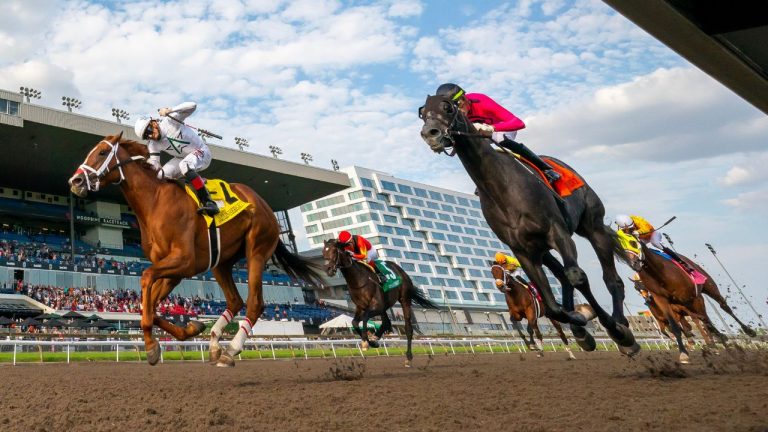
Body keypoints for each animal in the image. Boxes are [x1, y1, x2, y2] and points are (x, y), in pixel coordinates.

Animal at [68, 133, 325, 367]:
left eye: (102, 152)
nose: (75, 181)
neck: (155, 201)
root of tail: (267, 206)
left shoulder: (184, 260)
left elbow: (146, 279)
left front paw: (151, 345)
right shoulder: (173, 271)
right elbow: (149, 306)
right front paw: (191, 327)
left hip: (257, 250)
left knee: (255, 303)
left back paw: (231, 350)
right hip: (221, 262)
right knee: (235, 301)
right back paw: (214, 344)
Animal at [322, 239, 437, 367]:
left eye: (333, 251)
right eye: (323, 253)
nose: (328, 269)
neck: (359, 280)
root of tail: (401, 271)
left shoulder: (375, 306)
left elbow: (365, 318)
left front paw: (366, 342)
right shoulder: (360, 307)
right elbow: (354, 322)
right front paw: (370, 342)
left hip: (404, 300)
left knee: (408, 328)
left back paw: (408, 358)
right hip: (384, 307)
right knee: (386, 322)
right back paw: (375, 338)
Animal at [419, 95, 639, 356]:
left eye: (448, 107)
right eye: (422, 113)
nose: (430, 133)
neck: (502, 187)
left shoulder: (558, 232)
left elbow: (577, 277)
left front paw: (612, 329)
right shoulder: (522, 250)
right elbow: (553, 306)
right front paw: (580, 322)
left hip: (592, 226)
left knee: (610, 279)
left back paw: (622, 327)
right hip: (542, 249)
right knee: (562, 277)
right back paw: (581, 329)